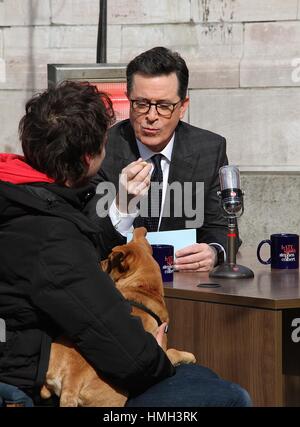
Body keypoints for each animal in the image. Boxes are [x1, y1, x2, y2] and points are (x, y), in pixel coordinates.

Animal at [41, 227, 196, 408]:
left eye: (109, 260)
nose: (98, 262)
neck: (144, 289)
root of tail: (72, 379)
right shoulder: (161, 350)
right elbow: (173, 352)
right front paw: (189, 357)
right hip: (115, 398)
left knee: (44, 392)